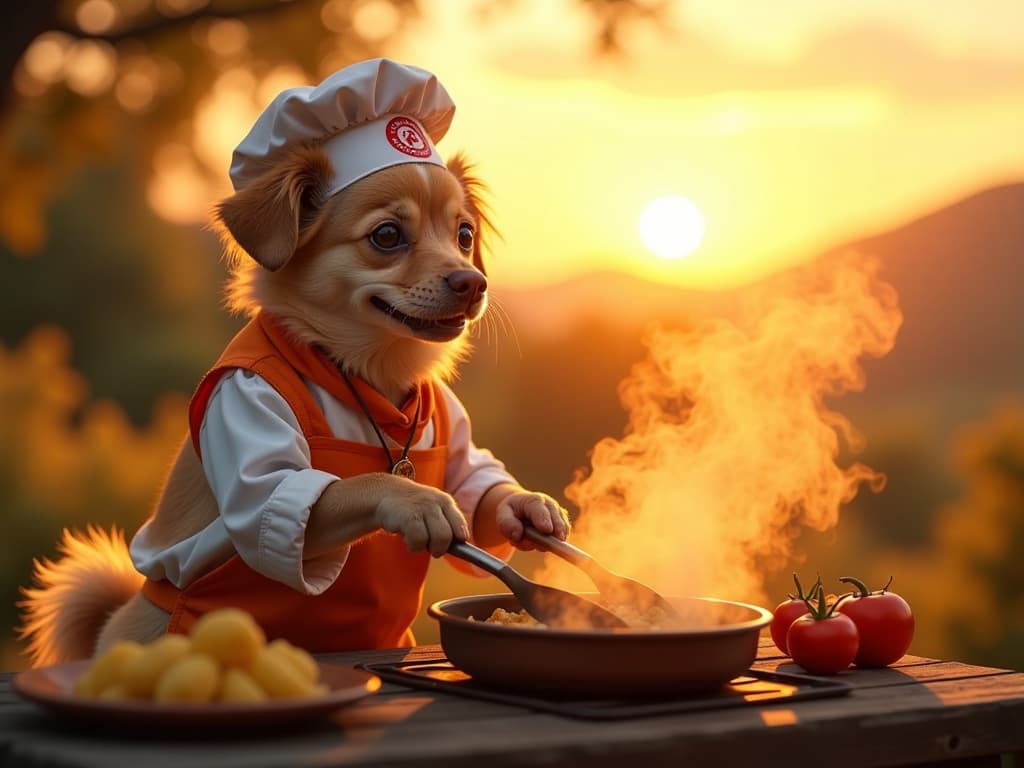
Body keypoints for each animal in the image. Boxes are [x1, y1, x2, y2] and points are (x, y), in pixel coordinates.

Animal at [19, 58, 573, 667]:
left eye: (465, 235)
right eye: (387, 236)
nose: (473, 282)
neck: (363, 371)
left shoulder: (454, 429)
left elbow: (476, 481)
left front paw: (526, 507)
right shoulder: (245, 412)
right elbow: (326, 489)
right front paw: (414, 501)